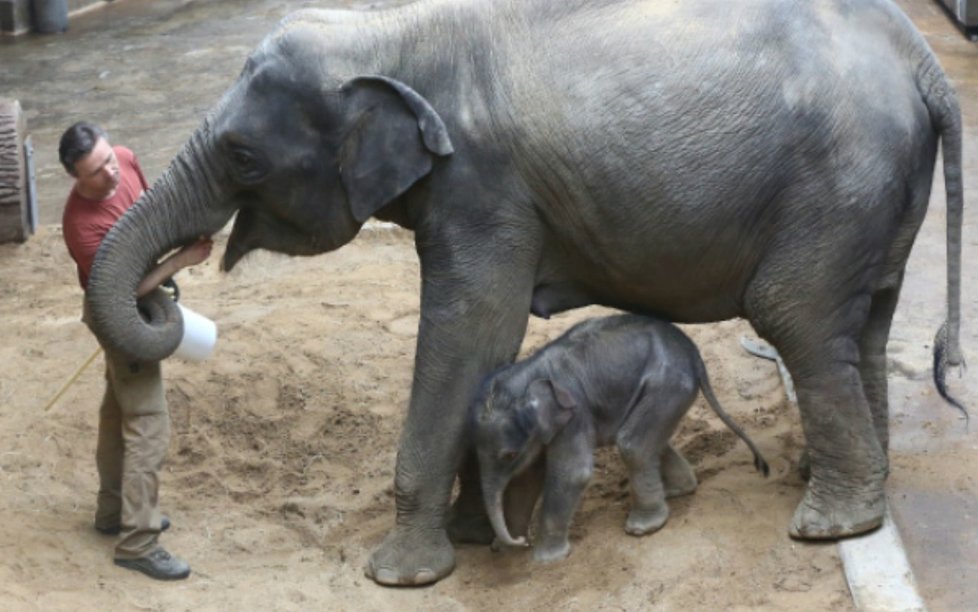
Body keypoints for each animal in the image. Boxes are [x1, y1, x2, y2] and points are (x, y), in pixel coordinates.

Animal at [468, 316, 768, 564]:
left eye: (508, 455)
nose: (520, 541)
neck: (530, 371)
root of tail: (695, 356)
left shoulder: (575, 415)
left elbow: (572, 474)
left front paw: (544, 560)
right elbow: (525, 481)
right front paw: (505, 550)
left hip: (666, 385)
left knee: (632, 444)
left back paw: (643, 527)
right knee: (650, 441)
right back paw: (677, 491)